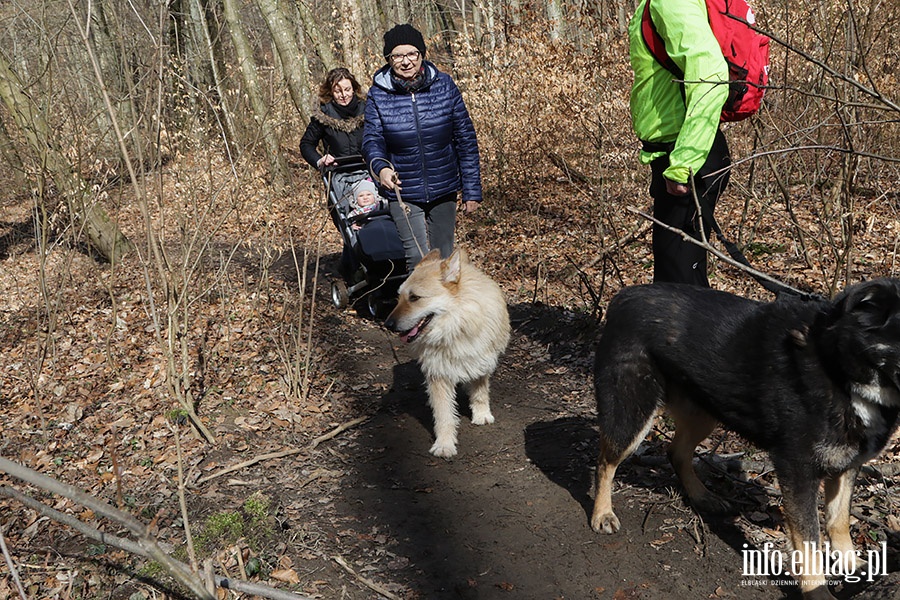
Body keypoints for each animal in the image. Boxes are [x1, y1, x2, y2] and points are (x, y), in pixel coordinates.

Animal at [384, 246, 510, 458]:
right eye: (398, 297)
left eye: (414, 298)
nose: (388, 325)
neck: (455, 324)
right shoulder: (438, 374)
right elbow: (443, 414)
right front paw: (445, 443)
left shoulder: (481, 361)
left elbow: (480, 392)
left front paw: (482, 414)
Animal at [592, 278, 900, 596]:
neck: (839, 368)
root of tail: (625, 295)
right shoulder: (798, 471)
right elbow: (809, 544)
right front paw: (818, 592)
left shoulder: (848, 464)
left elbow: (839, 521)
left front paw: (852, 565)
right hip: (632, 412)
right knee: (605, 462)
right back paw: (602, 514)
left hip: (704, 412)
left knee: (677, 452)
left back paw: (704, 496)